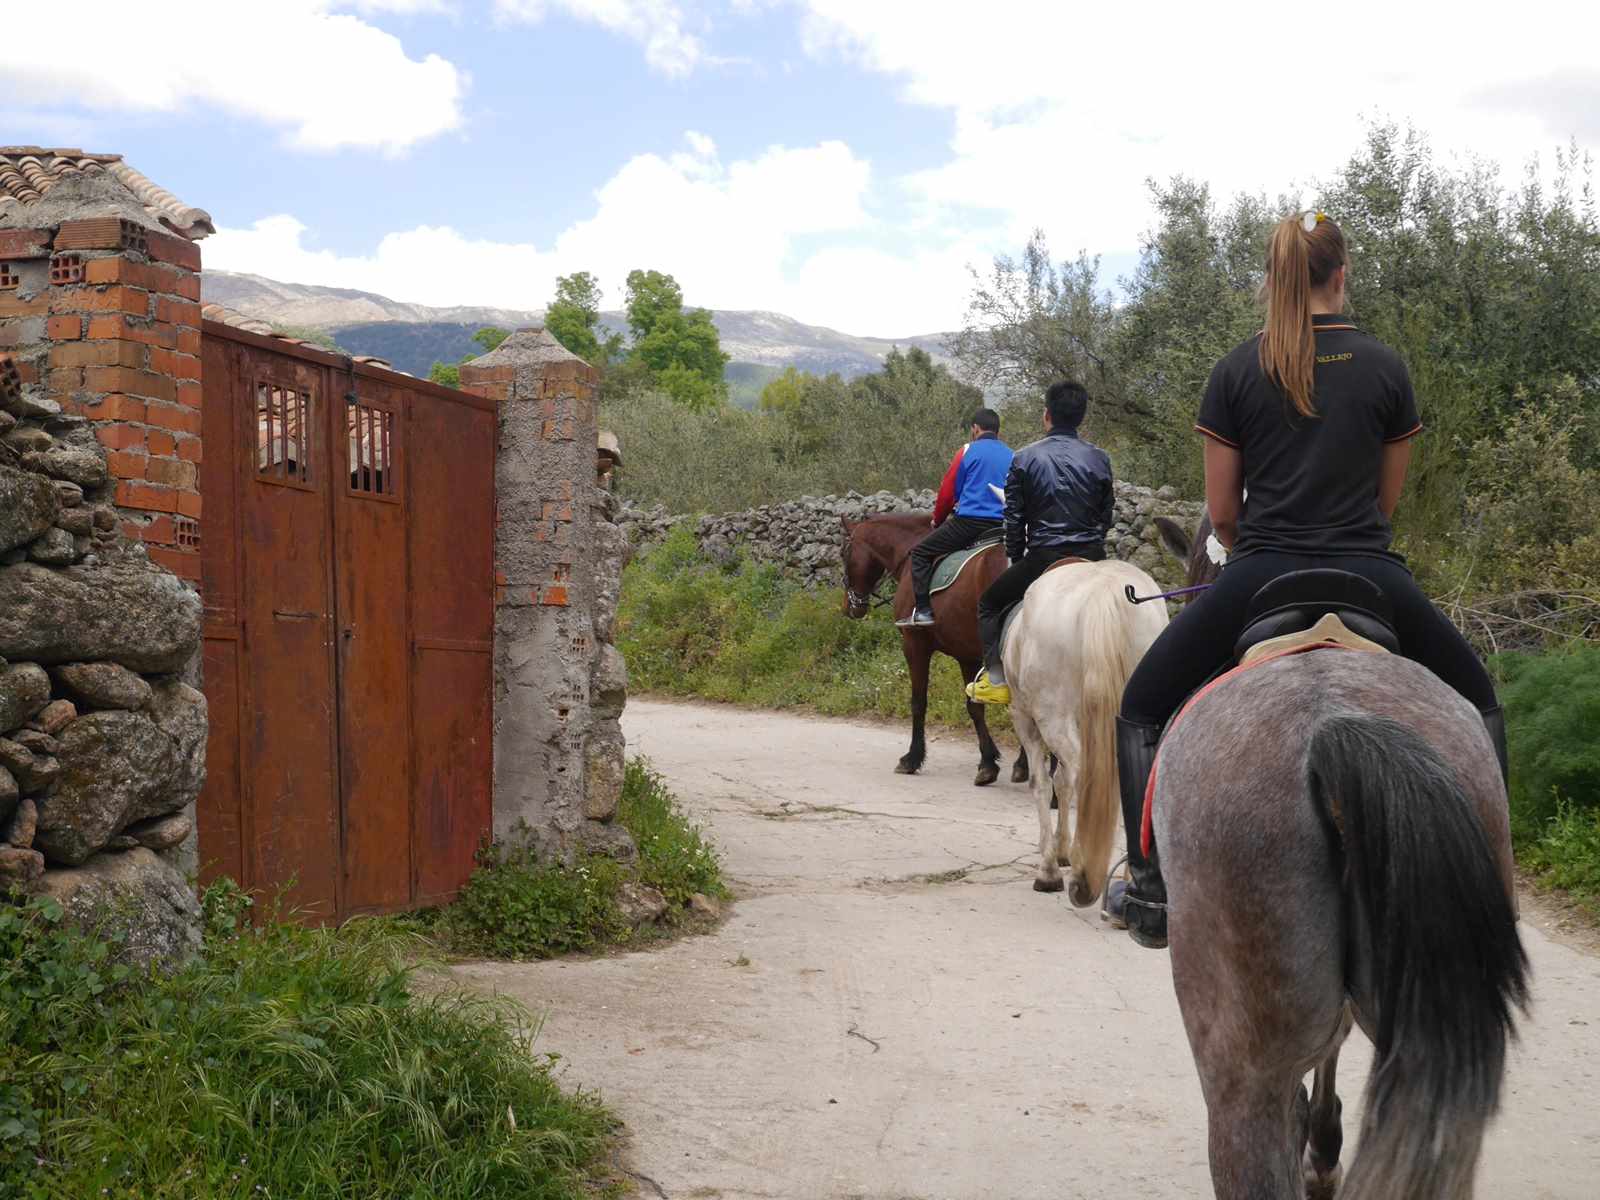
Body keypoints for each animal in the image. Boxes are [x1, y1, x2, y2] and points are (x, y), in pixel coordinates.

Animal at [838, 515, 1024, 780]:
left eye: (844, 553)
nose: (849, 606)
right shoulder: (967, 656)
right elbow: (974, 706)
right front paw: (988, 761)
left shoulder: (914, 645)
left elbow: (918, 702)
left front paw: (912, 758)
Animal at [1004, 563, 1171, 902]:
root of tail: (1106, 589)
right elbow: (1062, 781)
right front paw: (1061, 850)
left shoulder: (1025, 720)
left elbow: (1043, 784)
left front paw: (1049, 868)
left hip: (1052, 717)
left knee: (1084, 777)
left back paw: (1084, 874)